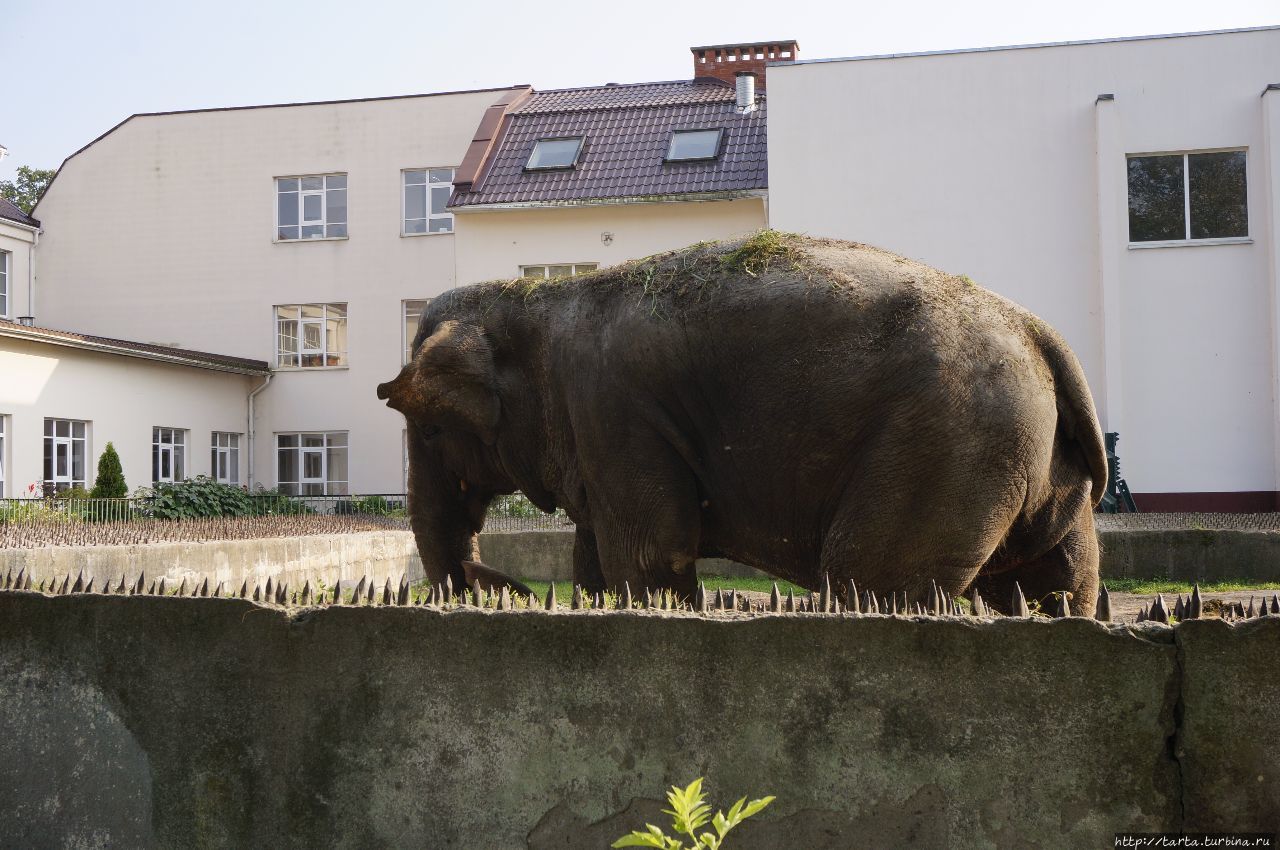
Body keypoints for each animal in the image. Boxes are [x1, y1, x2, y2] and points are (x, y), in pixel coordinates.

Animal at [373, 232, 1105, 614]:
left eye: (430, 428)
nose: (496, 582)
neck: (536, 301)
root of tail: (1042, 335)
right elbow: (595, 557)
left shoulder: (613, 411)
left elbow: (649, 551)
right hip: (1024, 455)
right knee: (1054, 580)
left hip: (948, 440)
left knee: (869, 576)